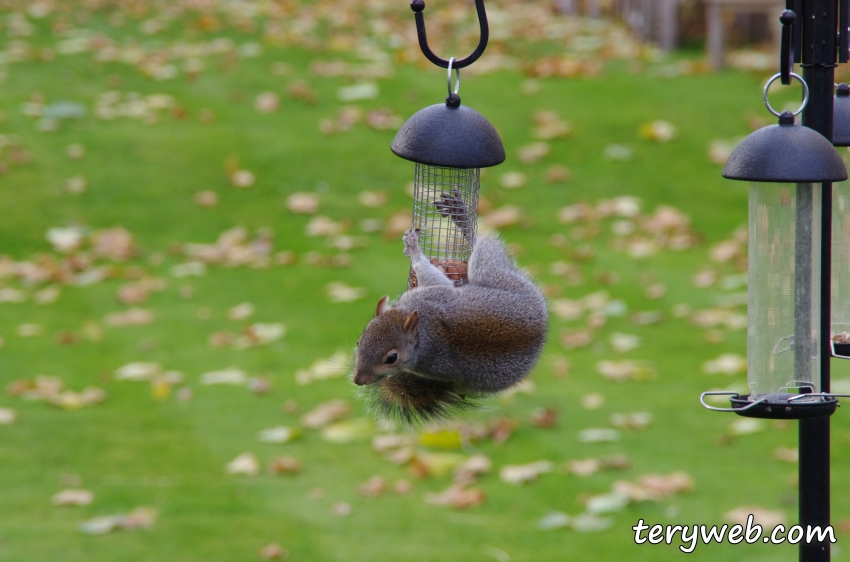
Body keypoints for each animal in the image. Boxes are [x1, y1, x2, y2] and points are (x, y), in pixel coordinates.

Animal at [350, 221, 544, 422]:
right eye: (359, 341)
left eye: (392, 358)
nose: (359, 380)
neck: (426, 332)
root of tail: (542, 324)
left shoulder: (433, 296)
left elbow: (439, 282)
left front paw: (414, 250)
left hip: (494, 274)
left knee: (486, 251)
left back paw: (466, 225)